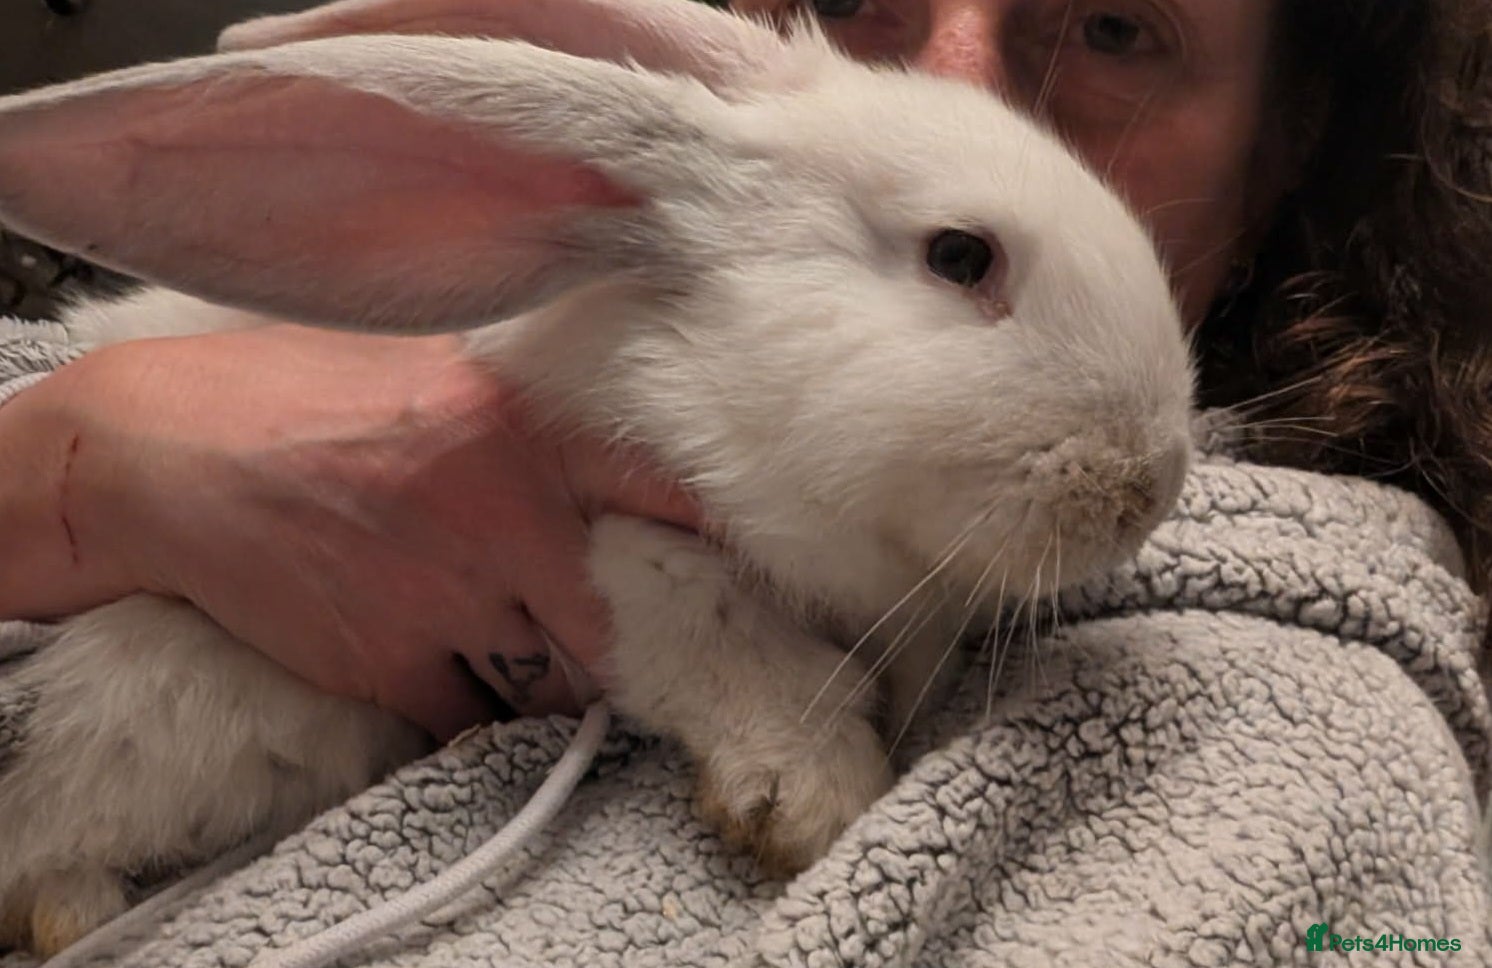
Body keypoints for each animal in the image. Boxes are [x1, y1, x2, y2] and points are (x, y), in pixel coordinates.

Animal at [0, 0, 1194, 956]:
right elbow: (744, 662)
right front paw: (807, 799)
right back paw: (76, 909)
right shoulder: (631, 558)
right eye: (960, 256)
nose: (1150, 483)